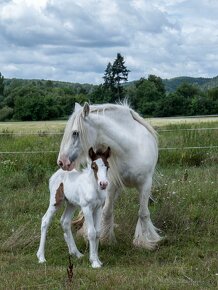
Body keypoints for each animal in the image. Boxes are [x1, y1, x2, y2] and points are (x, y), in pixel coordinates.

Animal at [57, 102, 161, 249]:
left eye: (75, 133)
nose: (61, 162)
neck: (129, 149)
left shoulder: (145, 184)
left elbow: (143, 213)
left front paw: (145, 241)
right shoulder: (111, 185)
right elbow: (106, 211)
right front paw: (104, 239)